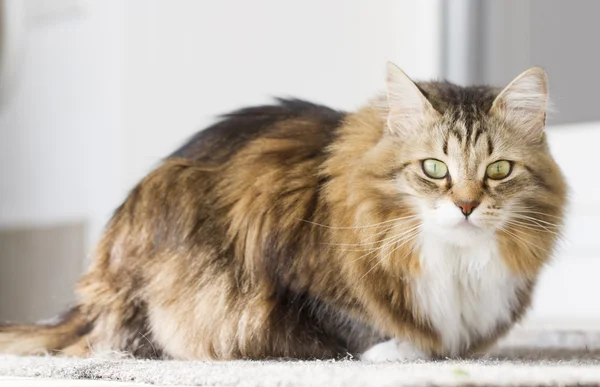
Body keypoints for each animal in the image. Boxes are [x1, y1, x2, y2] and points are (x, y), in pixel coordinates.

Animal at [0, 62, 564, 362]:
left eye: (498, 170)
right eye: (434, 168)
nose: (466, 205)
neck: (459, 262)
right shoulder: (301, 283)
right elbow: (364, 330)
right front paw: (407, 351)